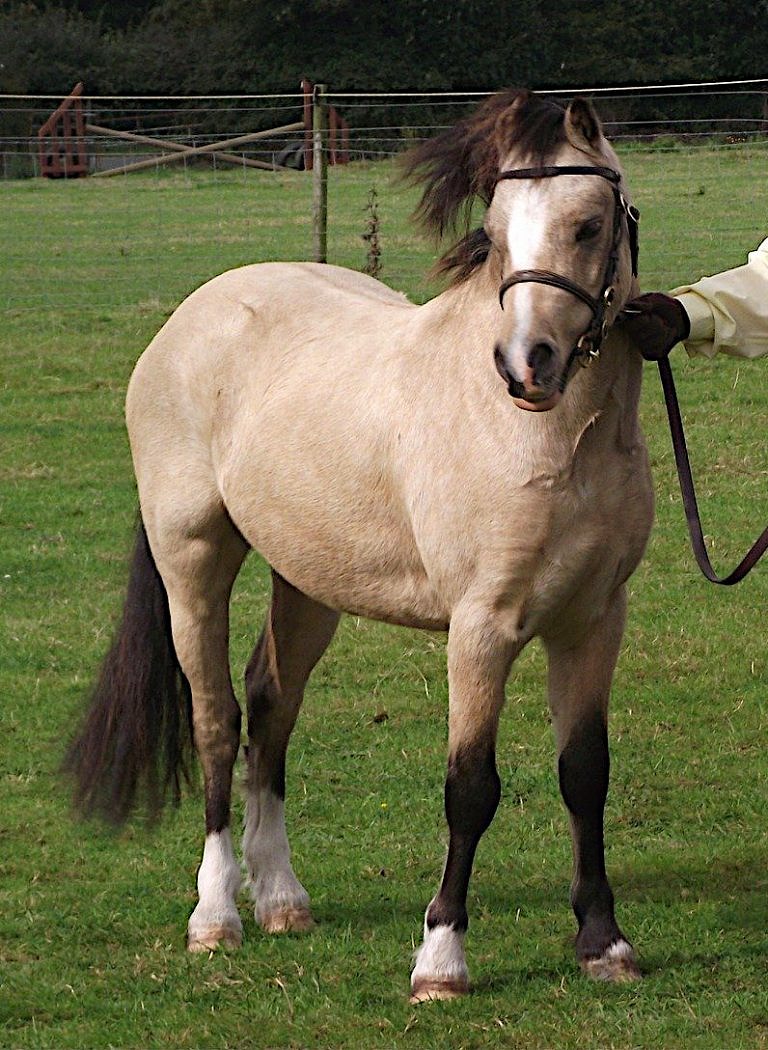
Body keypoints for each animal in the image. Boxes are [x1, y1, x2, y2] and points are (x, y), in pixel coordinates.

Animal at [65, 88, 653, 1002]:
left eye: (588, 224)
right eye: (495, 231)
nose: (527, 364)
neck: (551, 440)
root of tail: (190, 319)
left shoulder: (593, 620)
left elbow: (585, 773)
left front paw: (603, 942)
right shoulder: (482, 628)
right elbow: (469, 787)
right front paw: (441, 959)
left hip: (306, 582)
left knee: (270, 706)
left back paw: (281, 899)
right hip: (192, 561)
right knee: (215, 720)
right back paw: (216, 916)